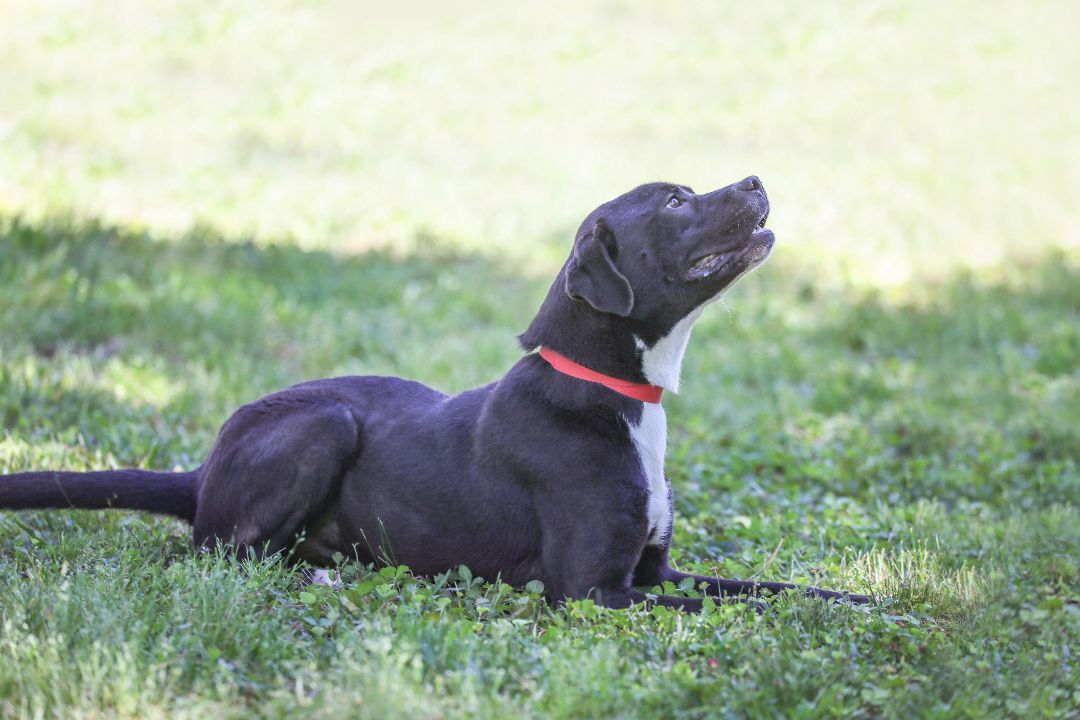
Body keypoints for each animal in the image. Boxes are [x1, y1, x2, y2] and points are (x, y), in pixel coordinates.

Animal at [0, 177, 868, 613]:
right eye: (676, 202)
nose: (756, 177)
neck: (608, 390)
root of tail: (203, 467)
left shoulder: (655, 573)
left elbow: (778, 592)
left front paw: (873, 603)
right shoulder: (591, 592)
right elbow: (741, 608)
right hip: (324, 423)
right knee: (218, 554)